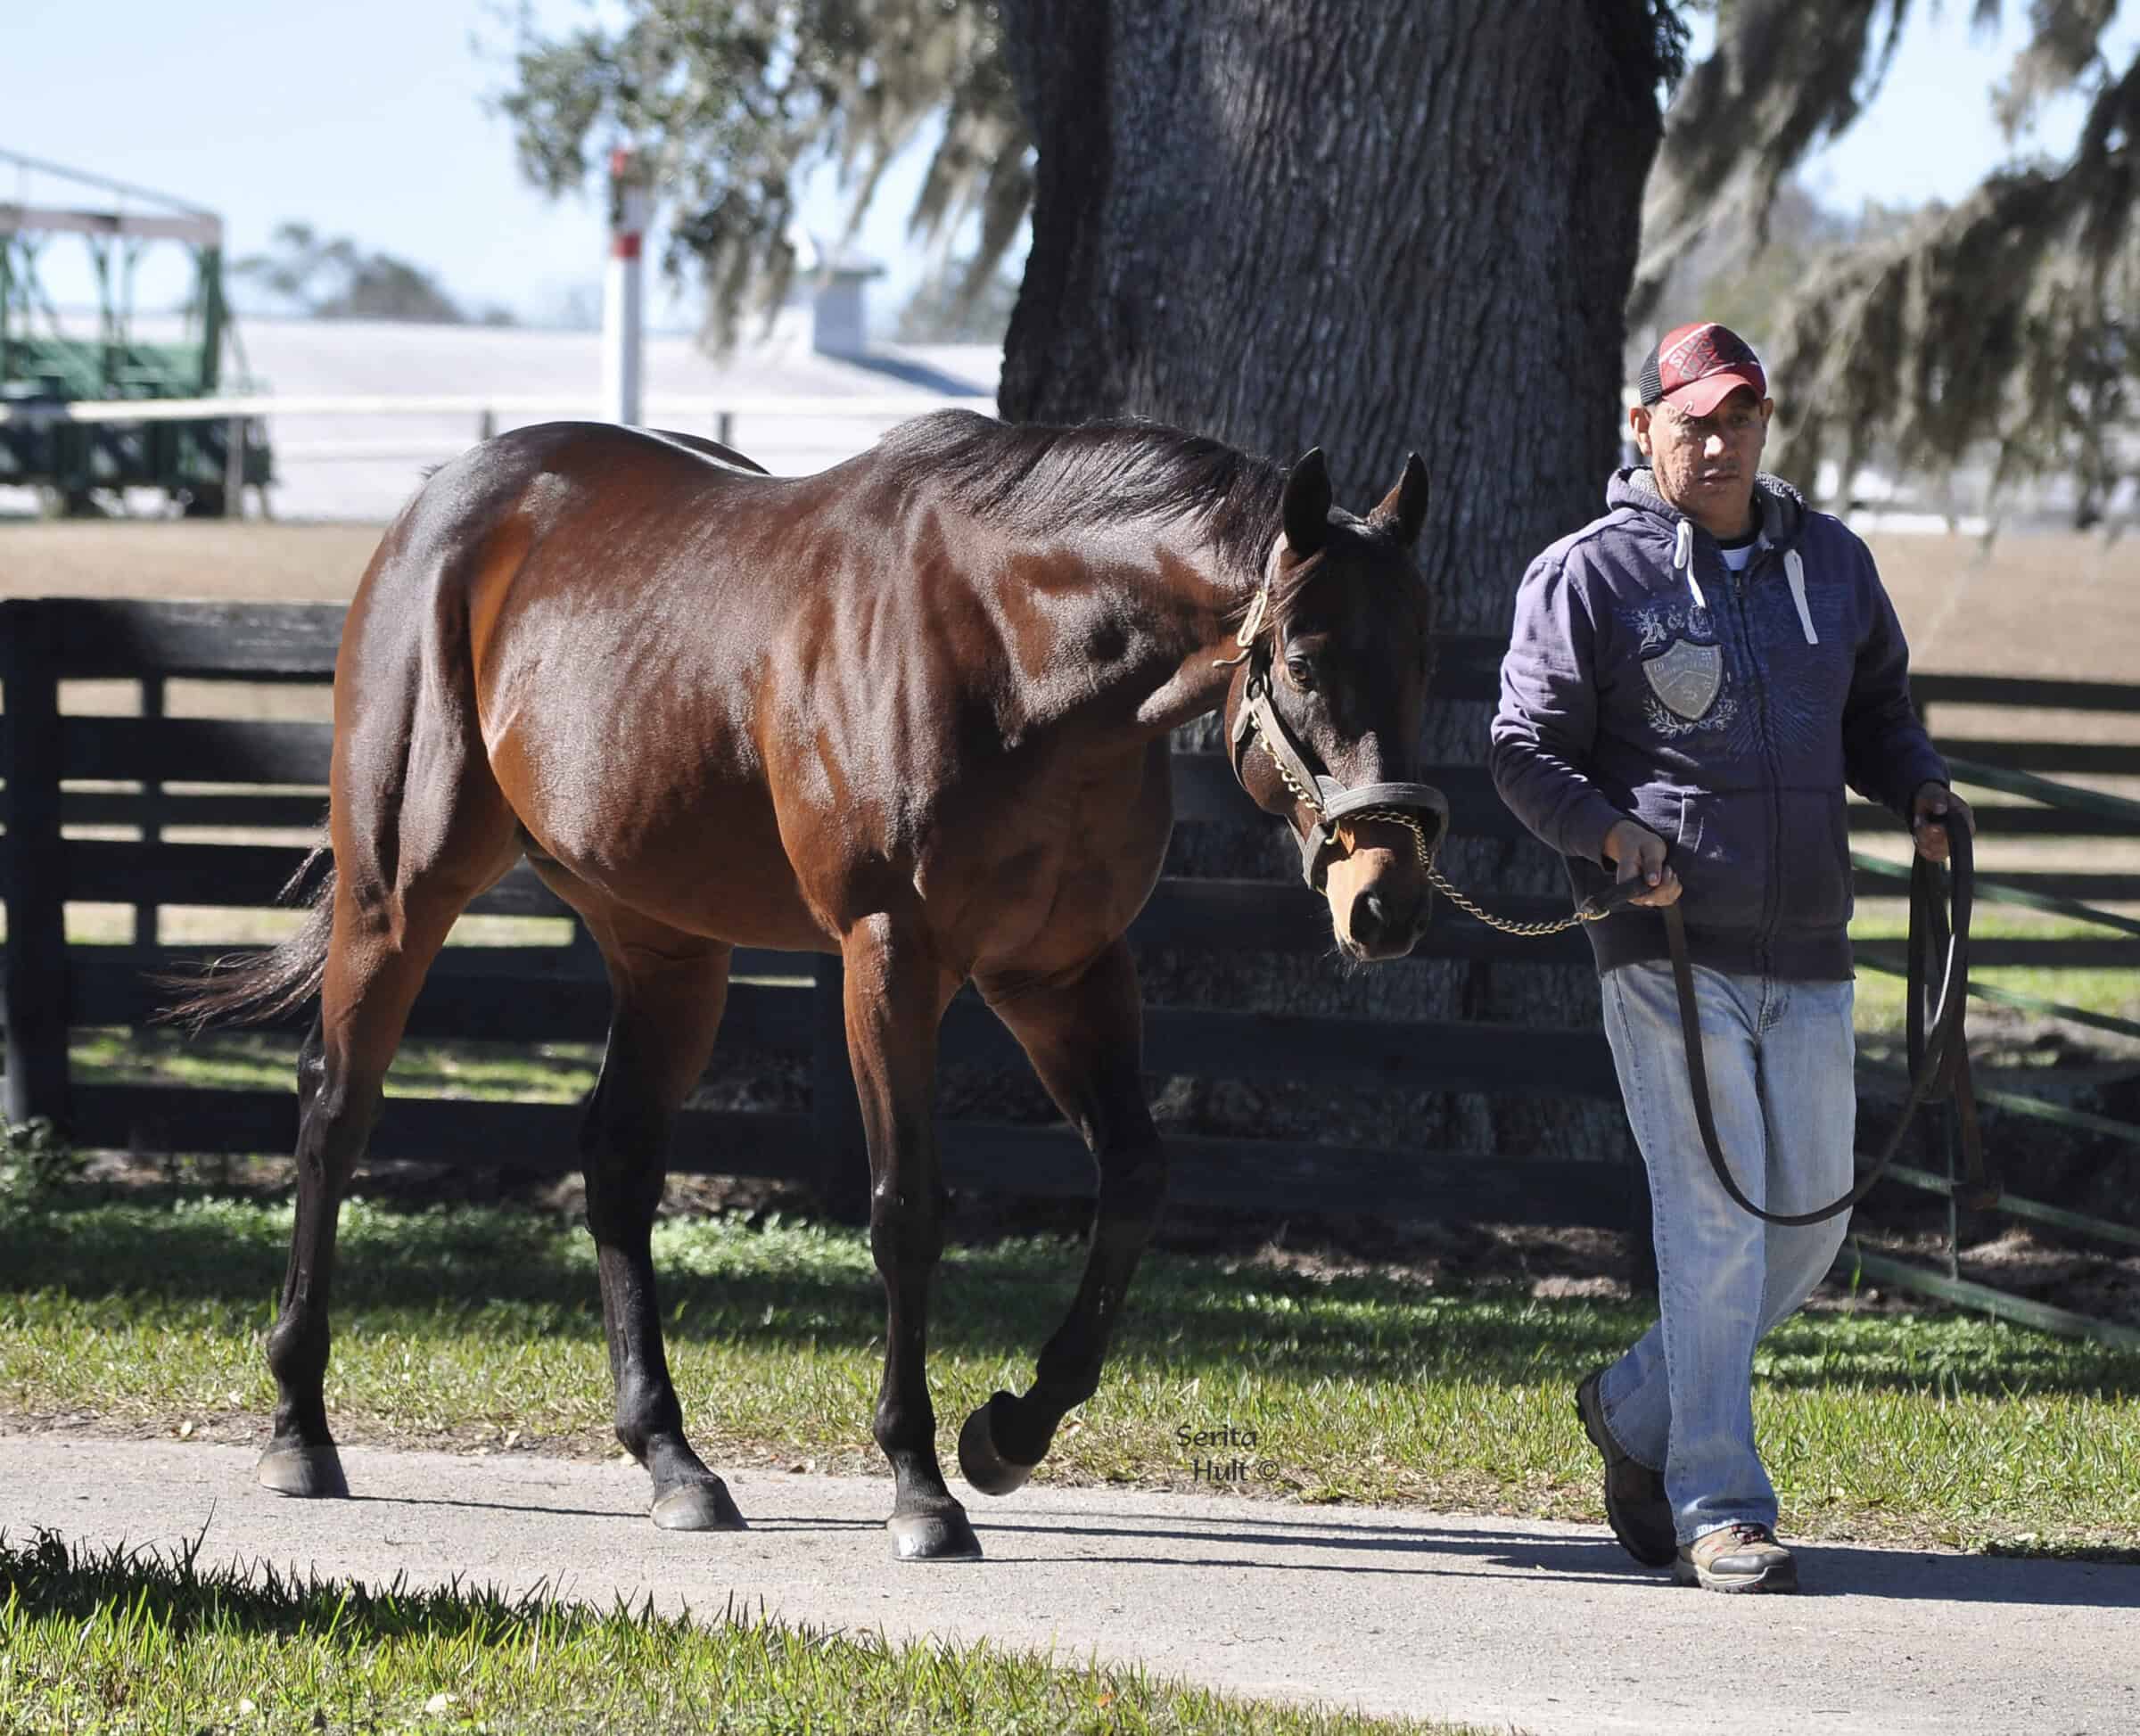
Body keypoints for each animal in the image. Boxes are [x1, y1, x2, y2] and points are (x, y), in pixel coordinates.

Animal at [167, 409, 1444, 1561]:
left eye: (1424, 662)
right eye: (1305, 661)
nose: (1386, 901)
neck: (1011, 652)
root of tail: (439, 503)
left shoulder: (1061, 971)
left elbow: (1133, 1179)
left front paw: (1008, 1434)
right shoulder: (891, 958)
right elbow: (907, 1208)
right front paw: (921, 1484)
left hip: (665, 947)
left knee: (617, 1158)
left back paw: (674, 1462)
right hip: (400, 891)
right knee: (336, 1111)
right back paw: (300, 1428)